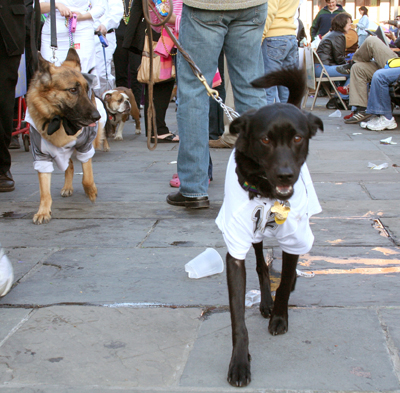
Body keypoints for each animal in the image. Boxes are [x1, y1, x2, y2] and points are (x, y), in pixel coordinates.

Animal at [216, 66, 324, 386]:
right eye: (265, 140)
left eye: (298, 138)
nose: (286, 175)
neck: (265, 191)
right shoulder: (236, 248)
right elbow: (237, 316)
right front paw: (239, 363)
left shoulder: (295, 239)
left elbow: (286, 280)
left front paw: (279, 316)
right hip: (254, 236)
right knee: (261, 265)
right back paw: (265, 301)